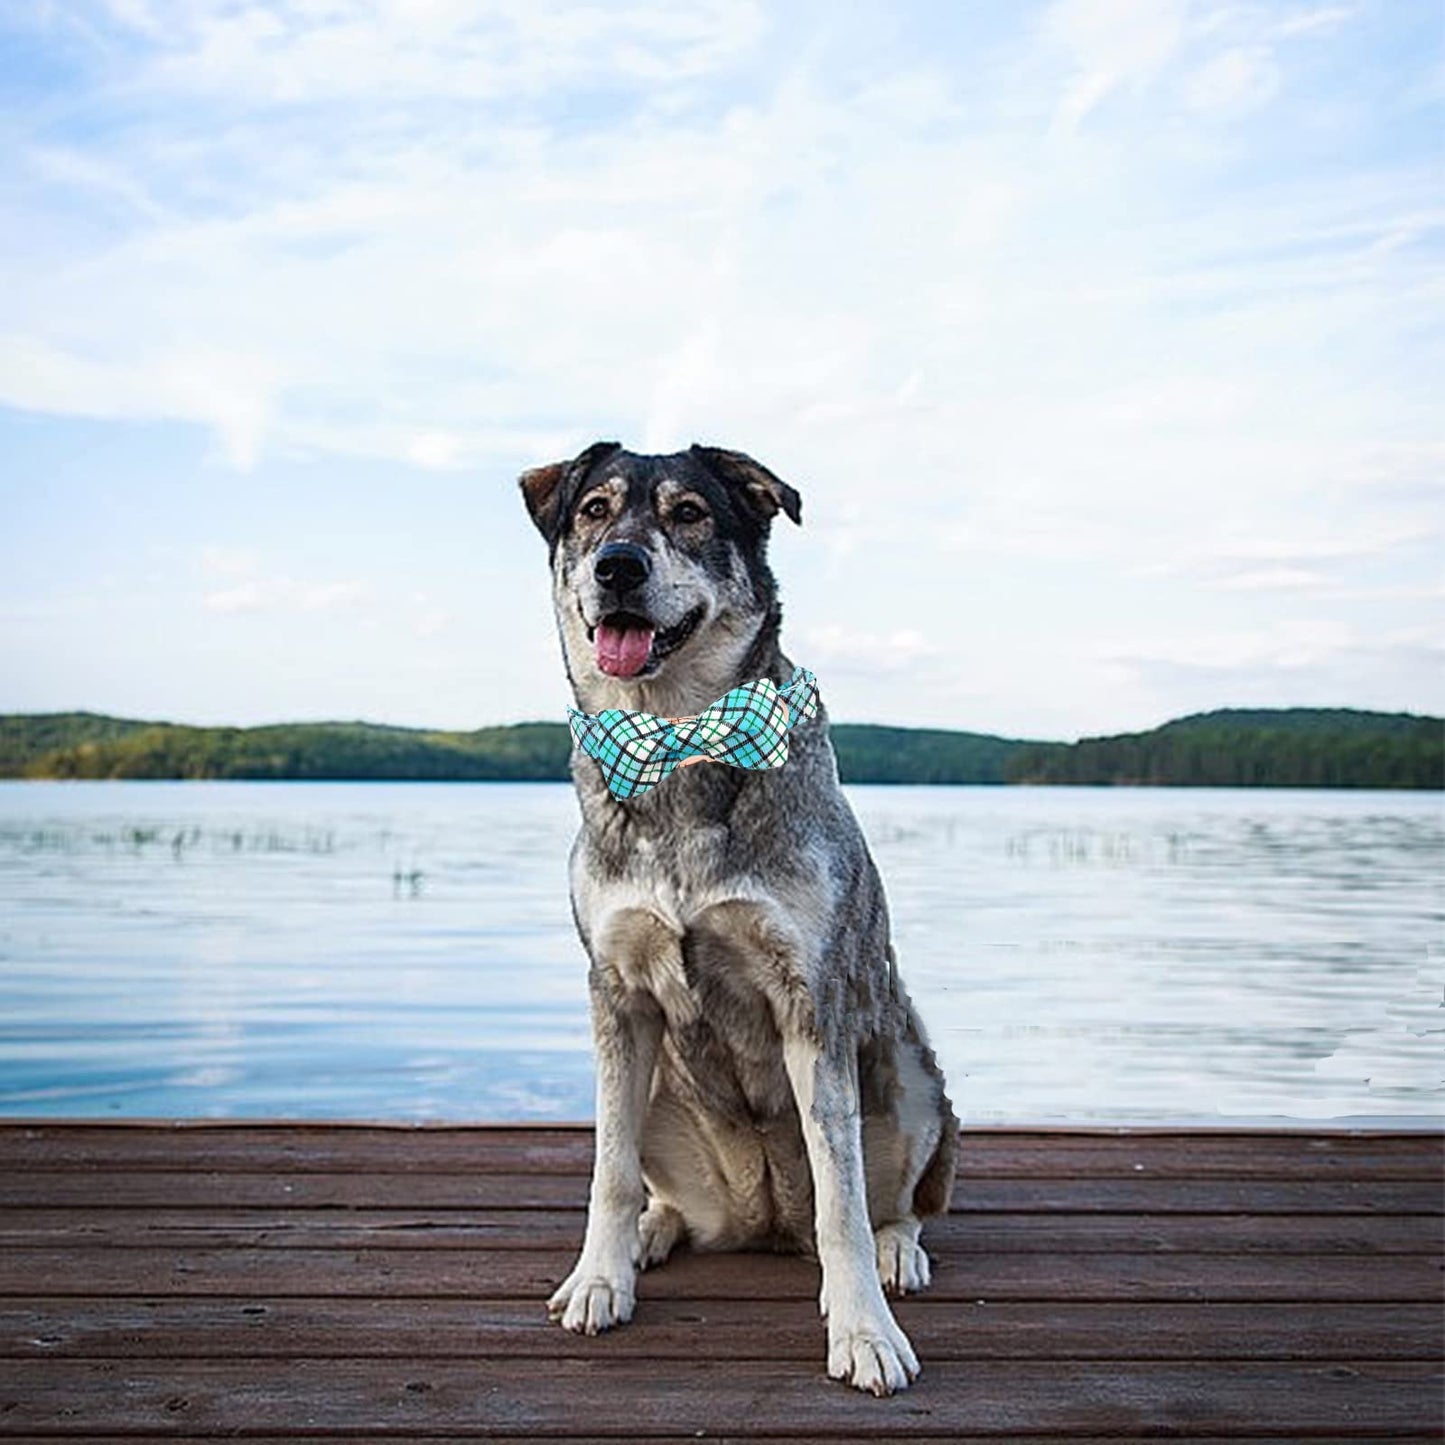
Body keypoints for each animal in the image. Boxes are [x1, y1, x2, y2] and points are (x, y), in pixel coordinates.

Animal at [520, 442, 959, 1398]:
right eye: (594, 510)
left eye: (688, 513)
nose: (618, 566)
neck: (677, 736)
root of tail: (760, 1217)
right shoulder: (616, 997)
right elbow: (606, 1172)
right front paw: (599, 1275)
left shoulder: (810, 1002)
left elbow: (842, 1195)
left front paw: (864, 1329)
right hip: (654, 1085)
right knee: (660, 1190)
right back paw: (652, 1232)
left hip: (911, 1068)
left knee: (898, 1201)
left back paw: (896, 1250)